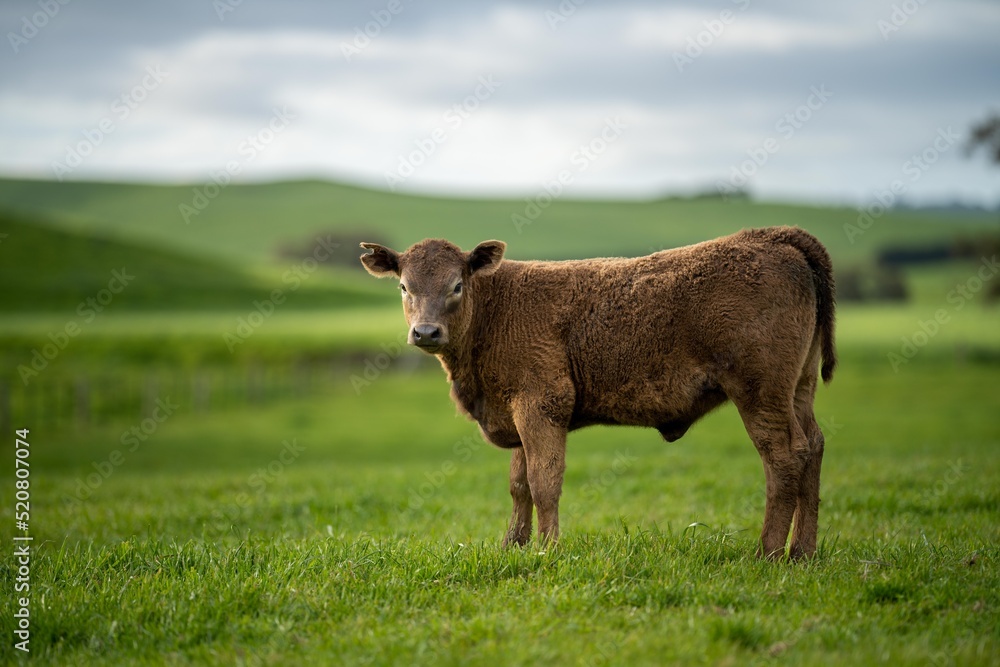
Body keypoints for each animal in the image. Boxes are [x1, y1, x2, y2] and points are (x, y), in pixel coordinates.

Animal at [360, 226, 836, 559]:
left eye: (456, 285)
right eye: (404, 286)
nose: (425, 331)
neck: (496, 310)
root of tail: (774, 236)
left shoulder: (540, 405)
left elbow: (544, 481)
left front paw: (547, 550)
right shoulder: (516, 412)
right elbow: (519, 485)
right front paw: (512, 546)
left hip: (760, 392)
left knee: (782, 455)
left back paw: (768, 553)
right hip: (799, 388)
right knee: (813, 446)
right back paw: (802, 553)